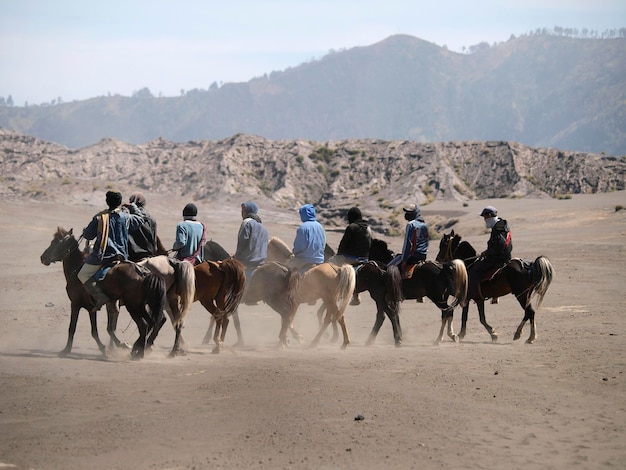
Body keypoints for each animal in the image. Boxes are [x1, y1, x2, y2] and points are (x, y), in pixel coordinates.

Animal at [38, 228, 166, 360]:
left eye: (54, 242)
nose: (43, 257)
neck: (76, 268)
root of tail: (144, 273)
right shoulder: (91, 308)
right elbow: (95, 331)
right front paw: (104, 349)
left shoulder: (75, 304)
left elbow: (72, 328)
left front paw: (66, 350)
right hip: (140, 306)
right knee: (151, 322)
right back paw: (137, 349)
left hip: (133, 307)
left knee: (144, 325)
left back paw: (137, 351)